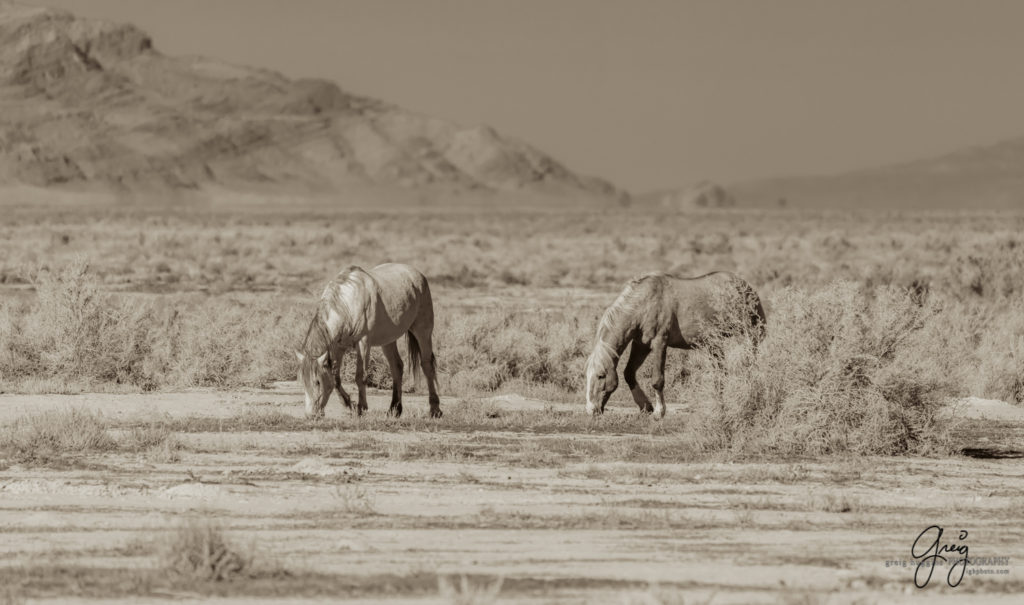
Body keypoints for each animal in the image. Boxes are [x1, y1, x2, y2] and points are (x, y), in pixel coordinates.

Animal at [294, 262, 442, 419]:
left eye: (317, 382)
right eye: (302, 382)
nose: (311, 415)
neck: (348, 303)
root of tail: (418, 274)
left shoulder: (363, 343)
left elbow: (360, 377)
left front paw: (361, 408)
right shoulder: (338, 347)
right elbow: (336, 378)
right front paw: (349, 404)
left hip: (423, 331)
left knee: (427, 366)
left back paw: (435, 410)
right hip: (388, 340)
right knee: (397, 367)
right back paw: (395, 409)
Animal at [585, 272, 770, 419]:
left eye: (601, 376)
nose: (591, 410)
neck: (644, 303)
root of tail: (746, 286)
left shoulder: (659, 343)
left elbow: (657, 380)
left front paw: (659, 412)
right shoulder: (641, 345)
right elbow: (629, 373)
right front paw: (646, 407)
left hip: (748, 336)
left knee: (749, 366)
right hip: (714, 345)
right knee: (721, 374)